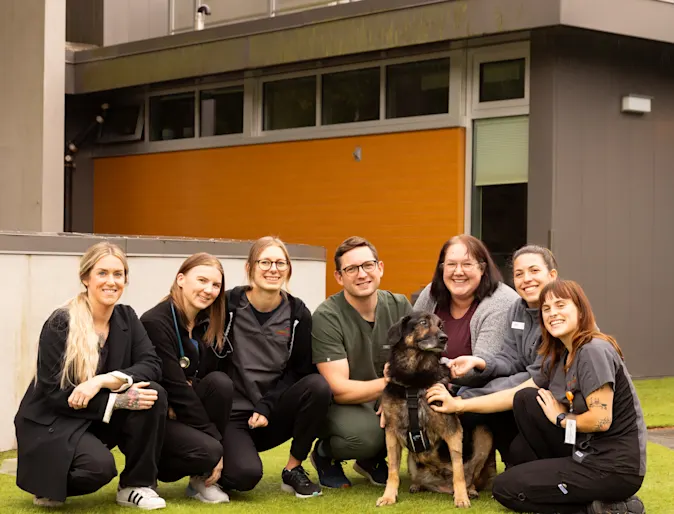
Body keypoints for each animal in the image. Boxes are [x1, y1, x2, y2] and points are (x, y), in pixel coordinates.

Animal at [376, 310, 490, 506]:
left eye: (441, 325)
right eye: (423, 323)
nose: (445, 338)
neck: (415, 377)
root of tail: (442, 487)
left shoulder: (452, 431)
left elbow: (458, 470)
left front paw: (461, 498)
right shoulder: (391, 432)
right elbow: (393, 471)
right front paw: (389, 496)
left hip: (484, 434)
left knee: (469, 476)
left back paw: (470, 490)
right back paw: (417, 485)